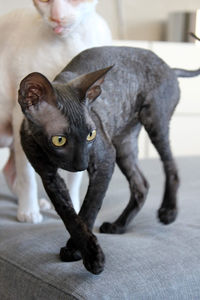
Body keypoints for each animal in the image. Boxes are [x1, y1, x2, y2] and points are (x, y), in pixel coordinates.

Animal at [0, 0, 111, 223]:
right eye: (44, 1)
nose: (56, 17)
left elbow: (75, 178)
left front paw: (74, 208)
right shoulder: (21, 118)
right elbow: (27, 174)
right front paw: (29, 212)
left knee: (8, 170)